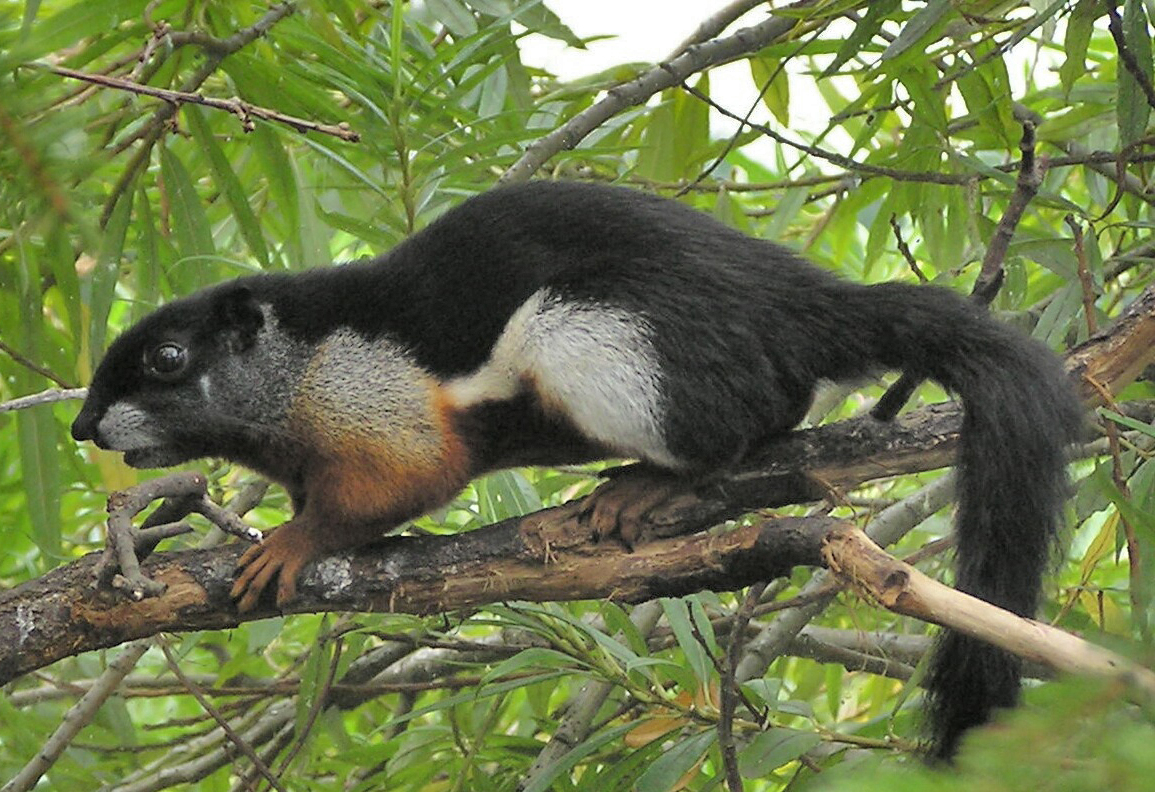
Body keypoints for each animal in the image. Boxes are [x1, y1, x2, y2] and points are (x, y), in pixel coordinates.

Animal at [69, 178, 1081, 757]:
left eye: (168, 360)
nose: (81, 427)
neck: (301, 366)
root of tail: (804, 309)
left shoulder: (384, 406)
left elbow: (393, 485)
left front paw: (291, 541)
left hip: (596, 333)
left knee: (753, 419)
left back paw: (651, 484)